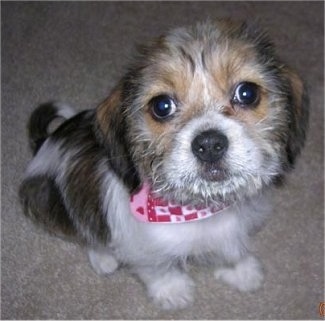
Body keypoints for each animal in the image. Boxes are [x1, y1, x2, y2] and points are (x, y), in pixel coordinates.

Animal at [19, 19, 308, 308]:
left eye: (247, 93)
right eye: (162, 105)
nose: (209, 144)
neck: (198, 208)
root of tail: (45, 141)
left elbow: (228, 251)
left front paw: (241, 271)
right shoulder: (142, 246)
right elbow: (157, 268)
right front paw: (172, 291)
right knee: (85, 229)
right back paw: (104, 258)